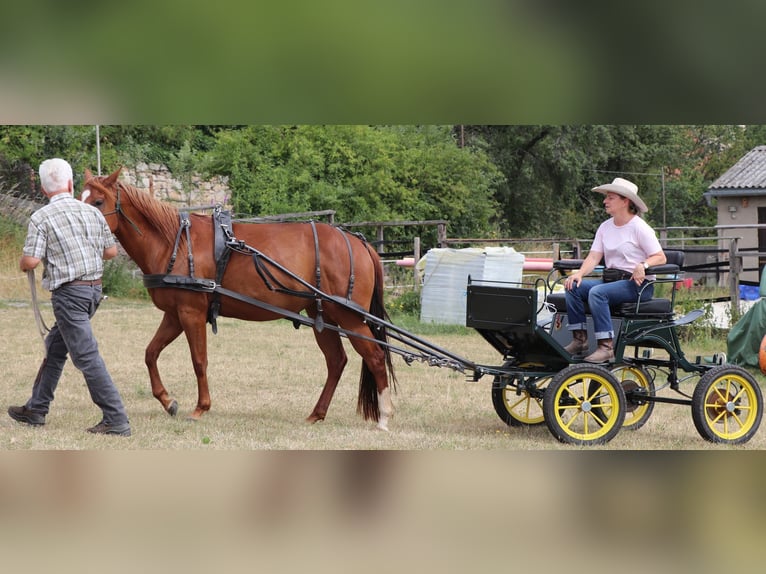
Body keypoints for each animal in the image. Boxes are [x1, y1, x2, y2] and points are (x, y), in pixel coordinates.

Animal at [81, 167, 396, 430]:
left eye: (98, 201)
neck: (176, 242)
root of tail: (358, 242)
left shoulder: (191, 312)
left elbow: (199, 360)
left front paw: (201, 408)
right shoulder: (174, 314)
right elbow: (150, 353)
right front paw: (168, 401)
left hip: (350, 317)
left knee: (375, 356)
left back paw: (383, 416)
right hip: (323, 315)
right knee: (336, 361)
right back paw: (316, 414)